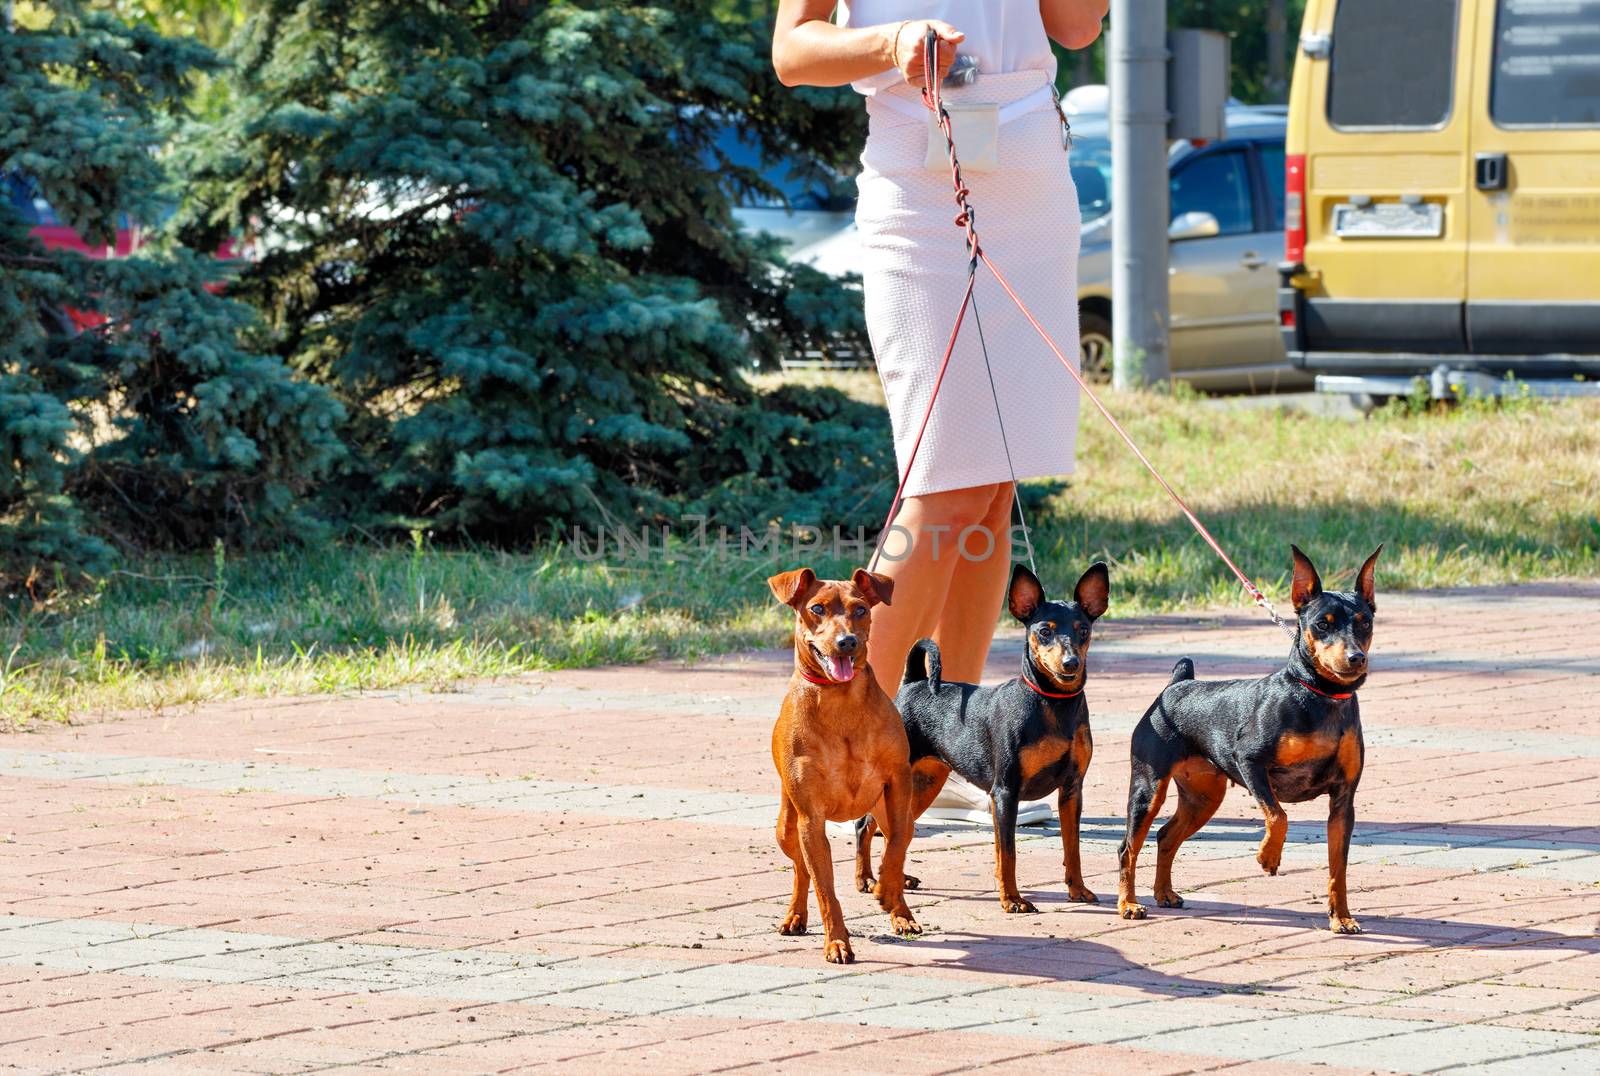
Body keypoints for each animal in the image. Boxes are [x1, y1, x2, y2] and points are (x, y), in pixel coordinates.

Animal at [768, 566, 921, 960]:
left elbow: (895, 851)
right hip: (787, 827)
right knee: (801, 870)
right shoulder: (811, 818)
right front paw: (836, 941)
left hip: (894, 811)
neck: (841, 702)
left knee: (891, 842)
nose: (847, 642)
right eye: (817, 609)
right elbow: (825, 889)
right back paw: (795, 916)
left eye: (861, 609)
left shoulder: (898, 786)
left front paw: (889, 894)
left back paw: (901, 910)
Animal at [857, 563, 1107, 915]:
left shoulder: (1071, 790)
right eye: (1044, 631)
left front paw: (1078, 889)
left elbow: (1072, 848)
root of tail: (913, 684)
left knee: (896, 831)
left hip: (923, 784)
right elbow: (1008, 853)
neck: (1053, 705)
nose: (1071, 663)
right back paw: (866, 879)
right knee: (865, 826)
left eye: (1083, 630)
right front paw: (1012, 899)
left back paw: (897, 878)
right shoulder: (1005, 793)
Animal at [1120, 547, 1382, 935]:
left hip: (1203, 798)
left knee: (1166, 835)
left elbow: (1339, 869)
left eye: (1365, 623)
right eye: (1323, 624)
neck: (1319, 697)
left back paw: (1164, 894)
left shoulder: (1343, 802)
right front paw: (1268, 856)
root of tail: (1176, 686)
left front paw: (1341, 917)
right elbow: (1278, 815)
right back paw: (1128, 904)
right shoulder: (1250, 762)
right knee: (1128, 847)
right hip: (1148, 789)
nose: (1356, 658)